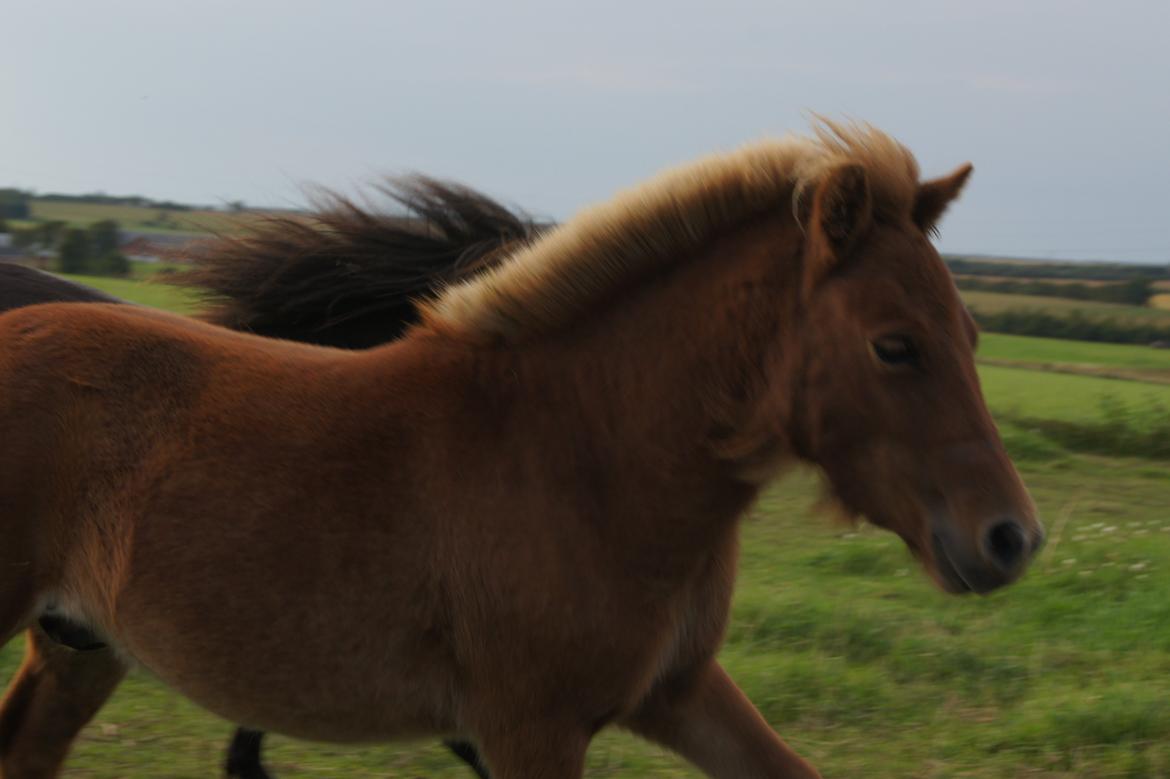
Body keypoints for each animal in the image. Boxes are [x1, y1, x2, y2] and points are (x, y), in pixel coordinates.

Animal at [0, 118, 1043, 771]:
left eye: (972, 333)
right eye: (894, 345)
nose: (1010, 538)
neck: (583, 459)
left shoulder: (678, 692)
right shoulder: (529, 727)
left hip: (81, 643)